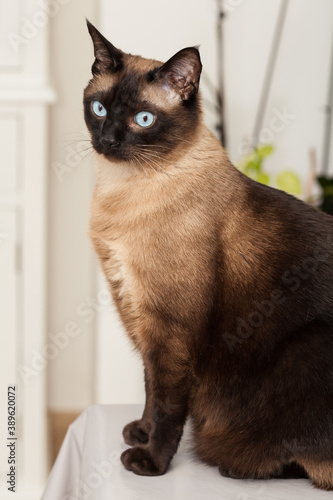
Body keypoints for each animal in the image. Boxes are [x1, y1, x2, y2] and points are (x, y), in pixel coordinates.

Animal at [83, 21, 332, 490]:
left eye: (144, 120)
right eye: (100, 109)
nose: (107, 141)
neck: (122, 191)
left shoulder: (170, 327)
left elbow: (167, 404)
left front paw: (151, 462)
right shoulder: (142, 318)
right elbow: (151, 390)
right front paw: (139, 433)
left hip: (307, 346)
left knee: (308, 465)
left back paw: (235, 463)